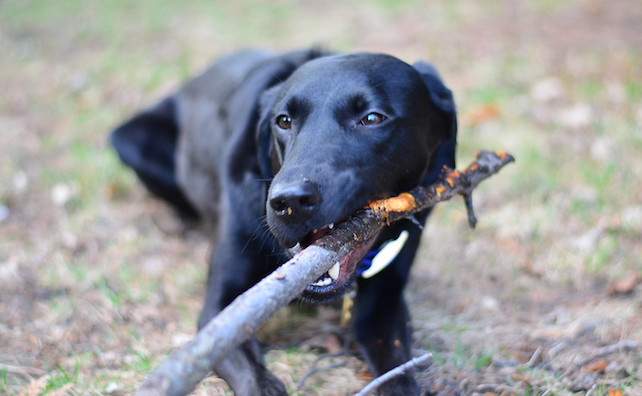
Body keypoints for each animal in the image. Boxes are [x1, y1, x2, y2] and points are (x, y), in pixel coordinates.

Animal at [111, 48, 460, 392]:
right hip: (130, 141)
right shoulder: (221, 311)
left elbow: (400, 374)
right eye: (283, 121)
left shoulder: (384, 306)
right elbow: (254, 378)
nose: (289, 202)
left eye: (372, 118)